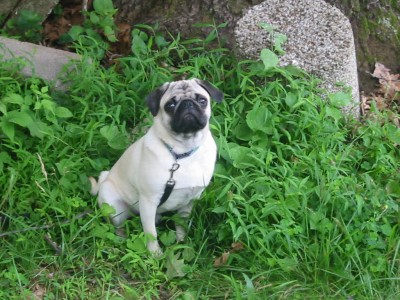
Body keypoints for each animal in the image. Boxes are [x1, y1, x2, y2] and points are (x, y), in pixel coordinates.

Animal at [88, 78, 223, 254]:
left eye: (202, 100)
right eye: (170, 105)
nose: (187, 103)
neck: (180, 154)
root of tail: (105, 180)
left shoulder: (189, 200)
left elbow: (181, 224)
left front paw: (181, 242)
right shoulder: (148, 201)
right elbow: (150, 233)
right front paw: (155, 254)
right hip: (113, 206)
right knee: (119, 226)